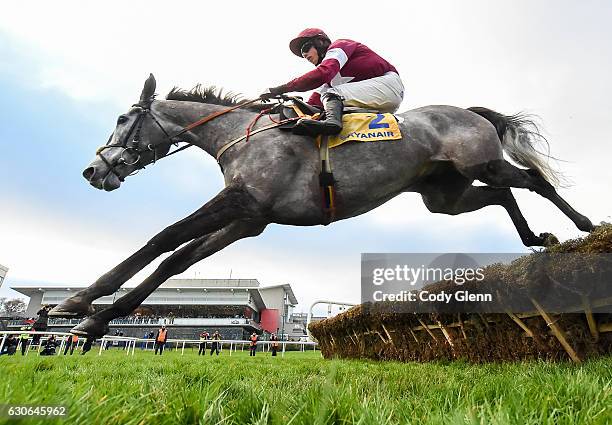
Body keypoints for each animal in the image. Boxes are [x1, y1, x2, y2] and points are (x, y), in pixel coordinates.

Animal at [50, 73, 596, 338]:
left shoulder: (241, 201)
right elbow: (177, 259)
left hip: (481, 165)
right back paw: (536, 238)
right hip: (446, 196)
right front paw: (96, 319)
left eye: (123, 119)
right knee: (504, 193)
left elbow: (162, 239)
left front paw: (74, 303)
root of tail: (469, 111)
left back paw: (583, 226)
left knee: (533, 181)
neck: (240, 134)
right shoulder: (249, 219)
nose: (93, 171)